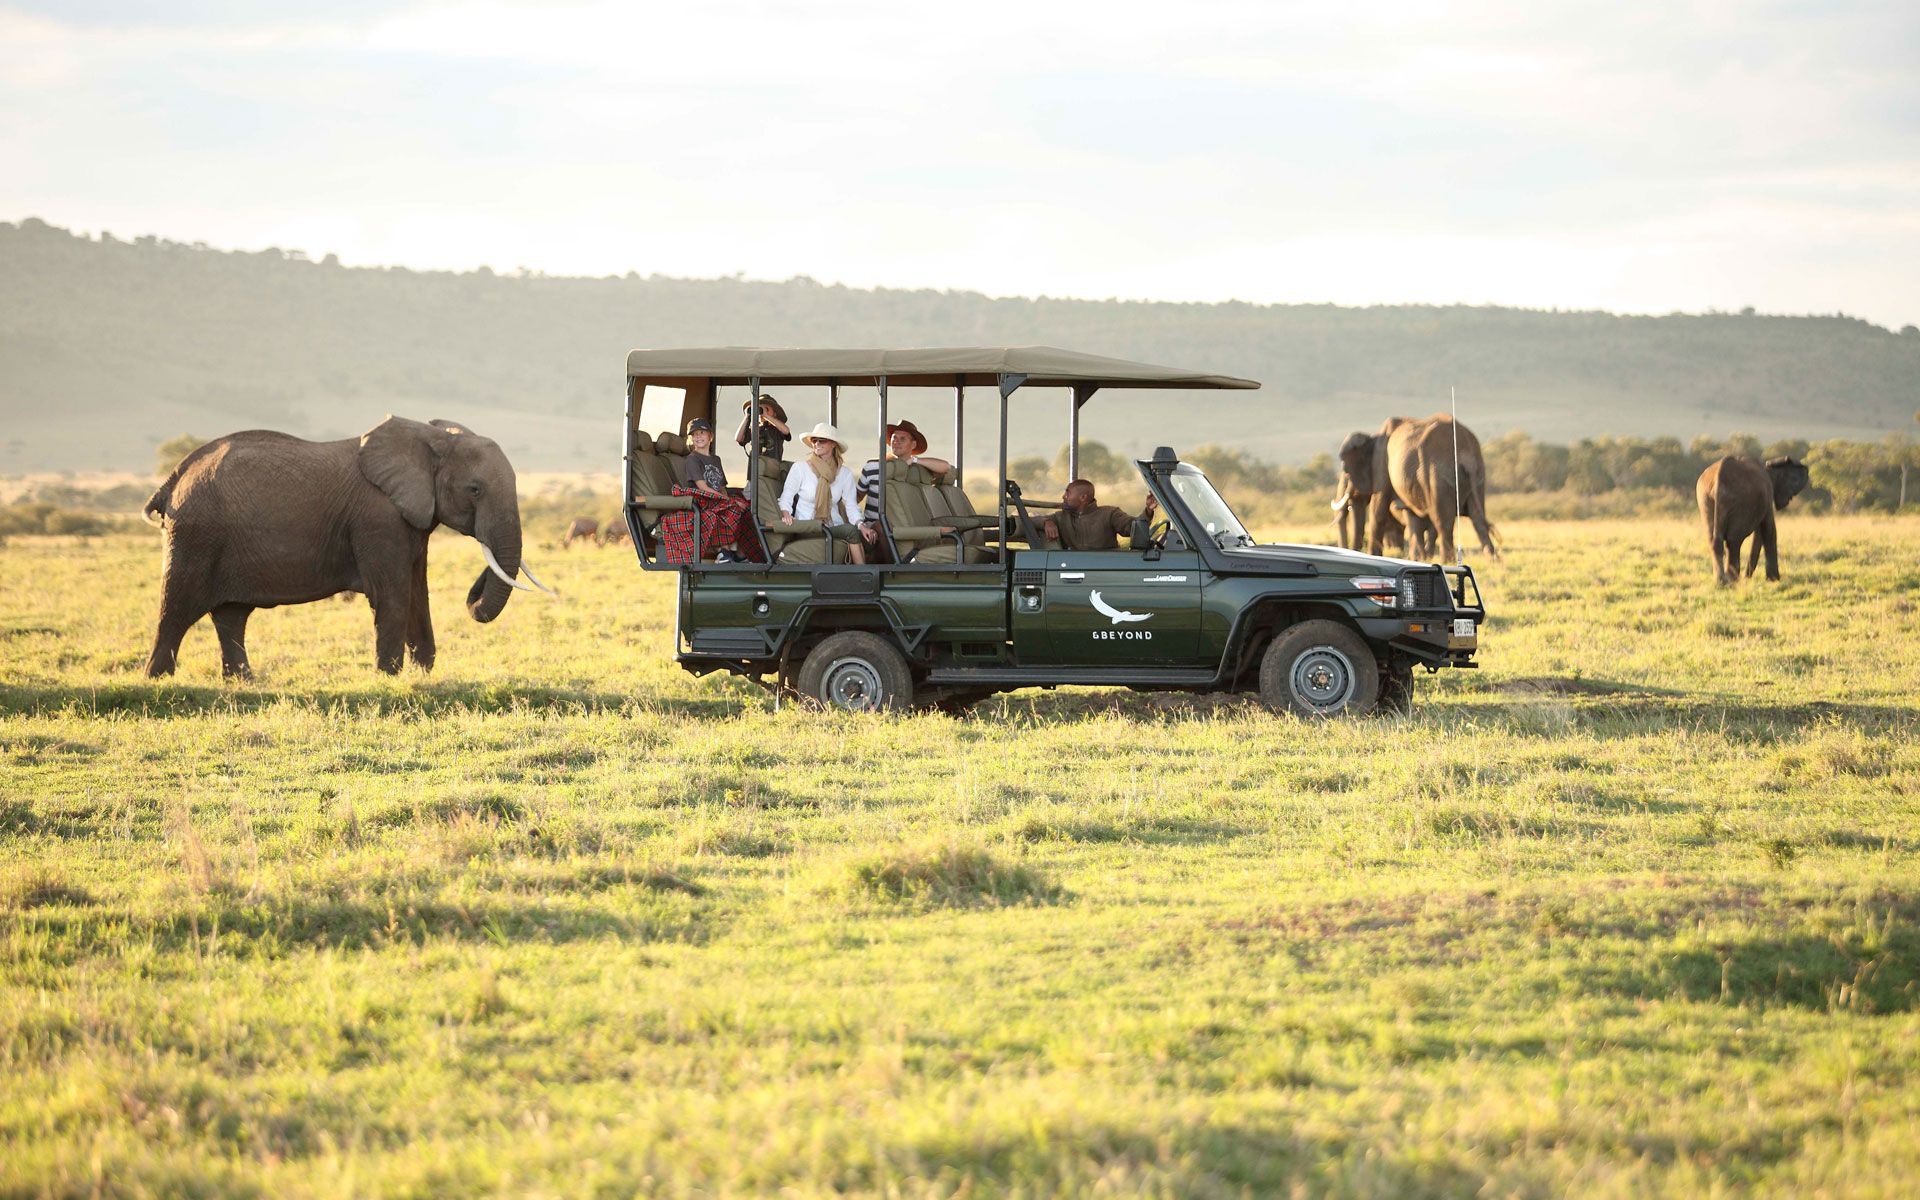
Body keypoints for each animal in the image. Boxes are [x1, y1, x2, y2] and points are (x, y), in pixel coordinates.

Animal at [140, 414, 549, 675]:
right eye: (475, 489)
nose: (476, 586)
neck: (428, 438)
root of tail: (173, 479)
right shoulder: (378, 519)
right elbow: (393, 594)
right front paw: (389, 678)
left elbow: (417, 592)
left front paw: (424, 675)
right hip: (195, 536)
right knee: (175, 609)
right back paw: (158, 680)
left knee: (231, 615)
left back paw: (241, 682)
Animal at [1336, 410, 1497, 560]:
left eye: (1346, 473)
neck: (1372, 437)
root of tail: (1466, 456)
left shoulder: (1380, 462)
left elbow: (1378, 510)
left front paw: (1374, 556)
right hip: (1477, 475)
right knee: (1477, 518)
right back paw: (1492, 560)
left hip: (1437, 476)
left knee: (1443, 521)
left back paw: (1446, 561)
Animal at [1704, 451, 1804, 583]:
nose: (1747, 576)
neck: (1769, 466)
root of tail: (1719, 478)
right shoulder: (1767, 495)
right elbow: (1769, 530)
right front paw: (1774, 580)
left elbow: (1760, 532)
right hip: (1742, 501)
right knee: (1734, 540)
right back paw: (1732, 579)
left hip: (1706, 500)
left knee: (1714, 539)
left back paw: (1722, 581)